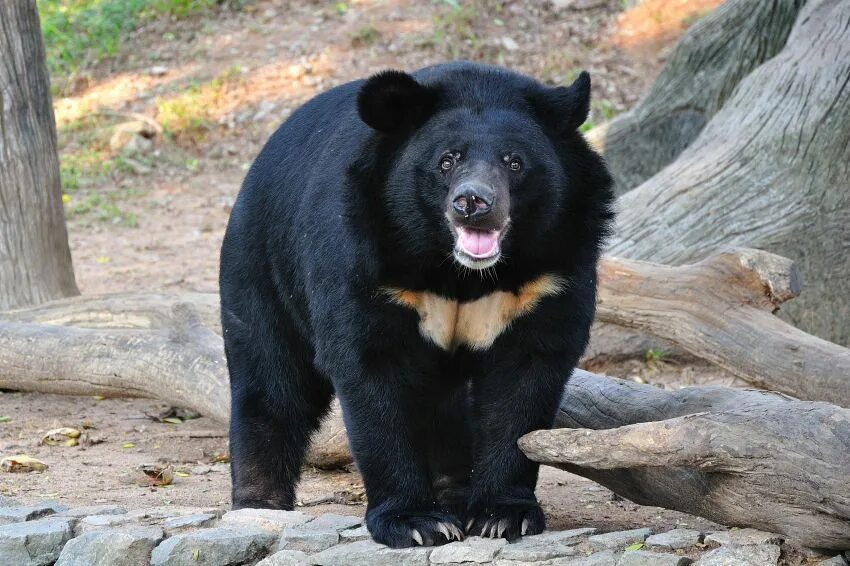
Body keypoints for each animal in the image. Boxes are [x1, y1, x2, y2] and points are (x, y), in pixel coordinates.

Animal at [220, 61, 608, 552]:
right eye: (447, 161)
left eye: (514, 162)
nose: (473, 203)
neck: (461, 273)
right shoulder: (365, 258)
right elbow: (372, 372)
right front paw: (415, 522)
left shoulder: (549, 275)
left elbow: (524, 383)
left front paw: (503, 515)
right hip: (261, 265)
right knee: (271, 379)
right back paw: (260, 503)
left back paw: (455, 493)